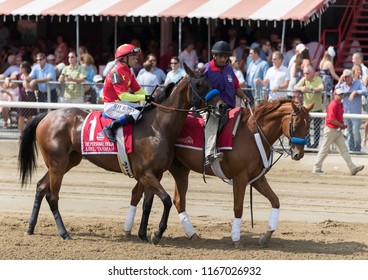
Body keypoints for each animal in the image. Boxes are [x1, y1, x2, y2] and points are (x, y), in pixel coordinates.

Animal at [18, 63, 216, 243]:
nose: (220, 104)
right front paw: (157, 234)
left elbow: (148, 204)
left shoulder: (155, 173)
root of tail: (46, 115)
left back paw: (30, 227)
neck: (158, 126)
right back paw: (64, 233)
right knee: (52, 196)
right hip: (57, 163)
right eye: (199, 84)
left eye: (209, 82)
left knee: (41, 187)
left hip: (66, 162)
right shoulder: (145, 173)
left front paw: (144, 235)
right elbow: (166, 200)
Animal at [125, 100, 312, 247]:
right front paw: (236, 239)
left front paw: (266, 236)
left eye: (308, 124)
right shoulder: (240, 178)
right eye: (296, 124)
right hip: (153, 171)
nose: (299, 154)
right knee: (143, 195)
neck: (252, 134)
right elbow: (238, 208)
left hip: (178, 170)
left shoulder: (257, 179)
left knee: (172, 200)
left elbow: (275, 201)